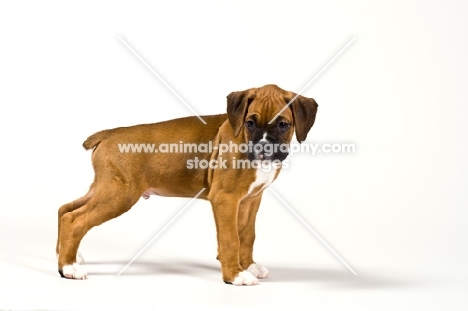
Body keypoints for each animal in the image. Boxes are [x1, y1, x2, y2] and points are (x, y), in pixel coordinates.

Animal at [55, 84, 318, 286]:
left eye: (283, 125)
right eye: (250, 123)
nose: (264, 147)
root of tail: (108, 134)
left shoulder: (251, 200)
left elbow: (247, 235)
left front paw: (248, 266)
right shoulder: (225, 199)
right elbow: (231, 238)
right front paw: (234, 275)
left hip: (104, 188)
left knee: (65, 209)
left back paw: (68, 256)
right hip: (119, 195)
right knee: (74, 219)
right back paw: (68, 268)